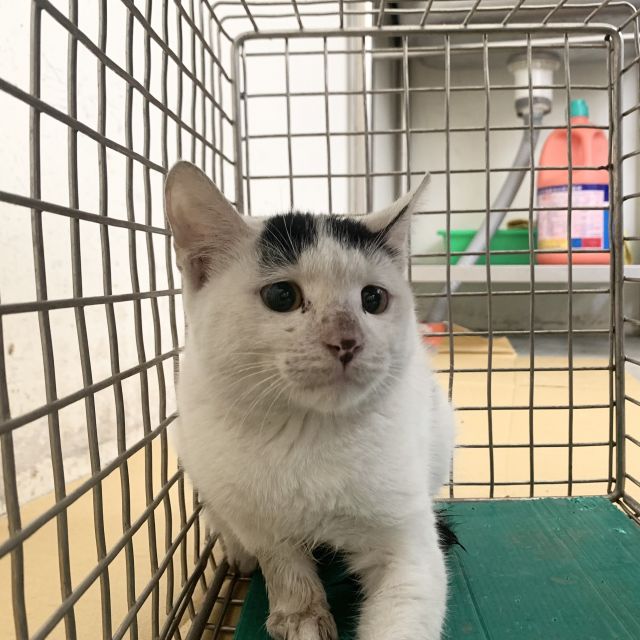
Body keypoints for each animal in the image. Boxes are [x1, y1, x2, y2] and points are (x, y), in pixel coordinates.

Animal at [164, 161, 456, 640]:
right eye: (282, 296)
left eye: (373, 298)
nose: (347, 341)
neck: (308, 431)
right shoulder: (256, 516)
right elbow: (281, 562)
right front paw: (300, 614)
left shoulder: (408, 547)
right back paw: (239, 554)